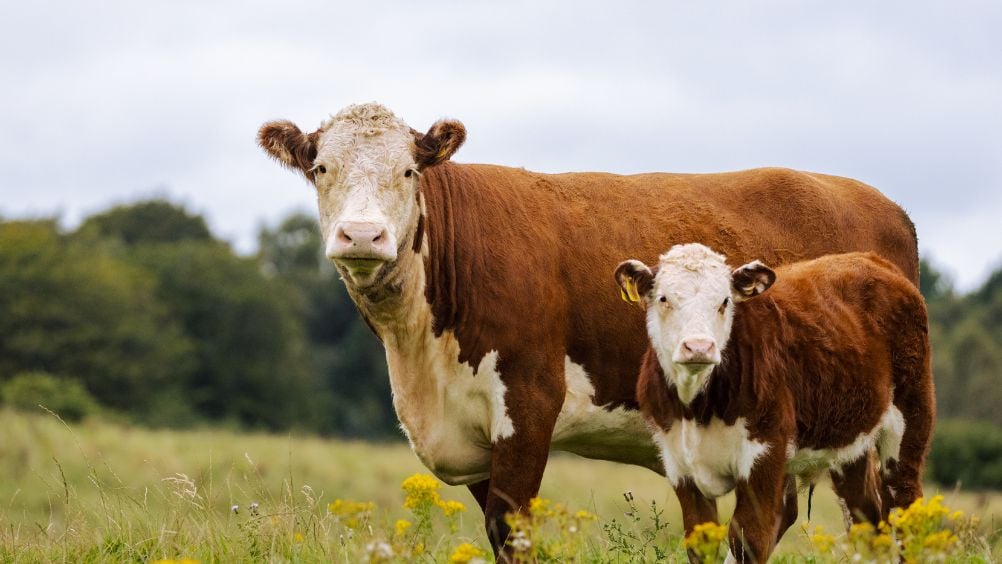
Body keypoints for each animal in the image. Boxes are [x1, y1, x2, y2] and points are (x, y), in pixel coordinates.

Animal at [613, 245, 933, 560]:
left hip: (909, 422)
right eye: (664, 298)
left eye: (725, 301)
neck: (696, 408)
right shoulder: (679, 464)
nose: (699, 347)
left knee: (905, 507)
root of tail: (871, 259)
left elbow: (747, 539)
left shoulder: (765, 453)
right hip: (849, 441)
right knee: (866, 517)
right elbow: (700, 543)